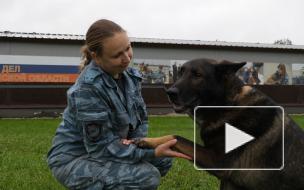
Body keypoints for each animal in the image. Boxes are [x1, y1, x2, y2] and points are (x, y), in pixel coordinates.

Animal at [137, 58, 304, 190]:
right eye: (181, 72)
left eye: (198, 75)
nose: (169, 93)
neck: (227, 104)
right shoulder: (229, 180)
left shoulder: (218, 161)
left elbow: (176, 137)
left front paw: (146, 141)